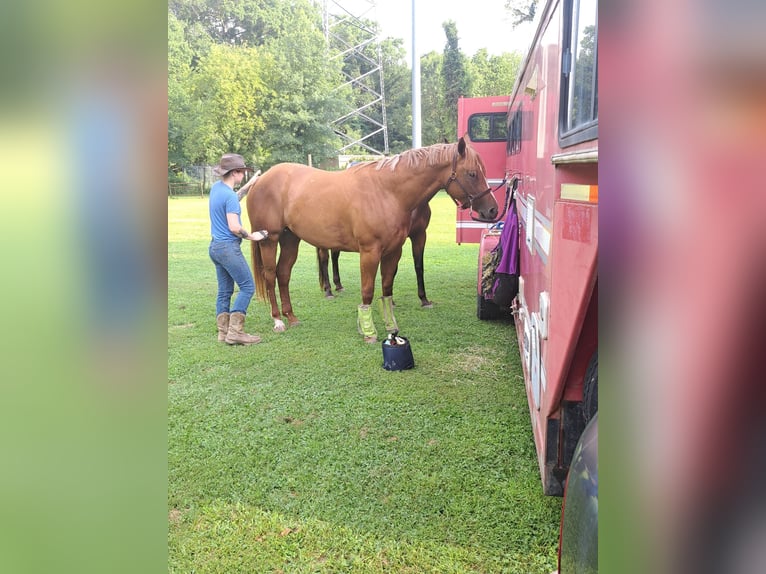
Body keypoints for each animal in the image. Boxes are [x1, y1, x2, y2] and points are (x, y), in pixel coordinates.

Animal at [246, 136, 499, 342]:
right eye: (472, 173)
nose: (493, 210)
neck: (387, 191)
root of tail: (260, 180)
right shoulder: (370, 252)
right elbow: (367, 290)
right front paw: (368, 331)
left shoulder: (394, 250)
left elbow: (387, 288)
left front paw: (391, 326)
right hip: (270, 240)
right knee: (271, 276)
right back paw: (278, 320)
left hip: (291, 240)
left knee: (283, 274)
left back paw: (291, 317)